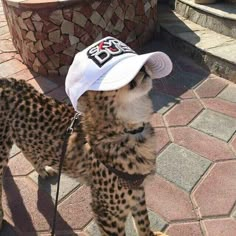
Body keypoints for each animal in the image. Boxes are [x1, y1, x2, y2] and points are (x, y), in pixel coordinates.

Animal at [0, 68, 167, 236]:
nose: (143, 68)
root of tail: (6, 81)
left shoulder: (137, 191)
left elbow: (143, 222)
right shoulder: (106, 213)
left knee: (27, 151)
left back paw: (42, 170)